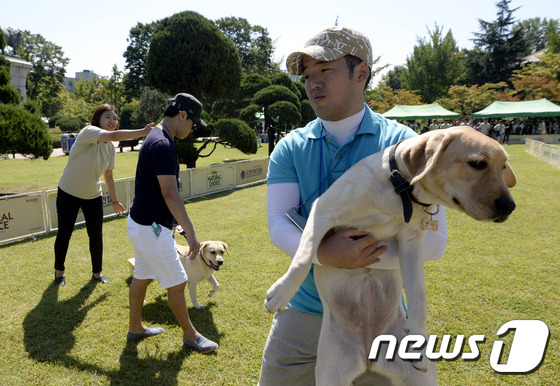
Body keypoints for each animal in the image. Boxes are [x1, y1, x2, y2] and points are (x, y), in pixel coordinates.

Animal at [264, 126, 516, 382]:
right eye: (478, 163)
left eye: (504, 166)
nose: (509, 206)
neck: (400, 189)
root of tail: (368, 354)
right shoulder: (323, 211)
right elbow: (304, 257)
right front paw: (281, 293)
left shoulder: (411, 242)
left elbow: (418, 295)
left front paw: (419, 340)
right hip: (330, 375)